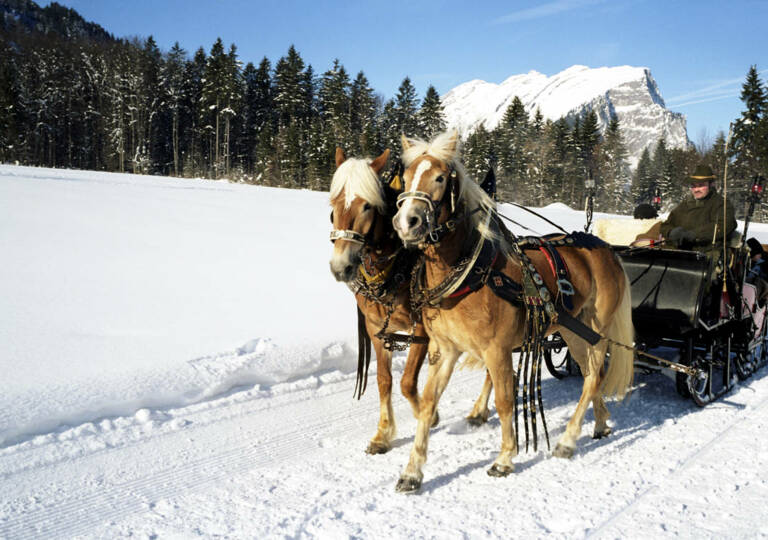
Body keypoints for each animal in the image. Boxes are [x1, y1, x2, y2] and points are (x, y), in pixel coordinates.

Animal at [392, 131, 632, 494]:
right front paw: (412, 471)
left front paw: (505, 458)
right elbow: (429, 402)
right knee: (595, 377)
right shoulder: (444, 349)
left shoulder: (497, 350)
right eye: (405, 177)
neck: (469, 272)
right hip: (572, 329)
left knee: (593, 377)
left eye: (439, 177)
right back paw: (600, 422)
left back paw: (568, 439)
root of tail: (607, 251)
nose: (408, 222)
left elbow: (505, 401)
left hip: (592, 330)